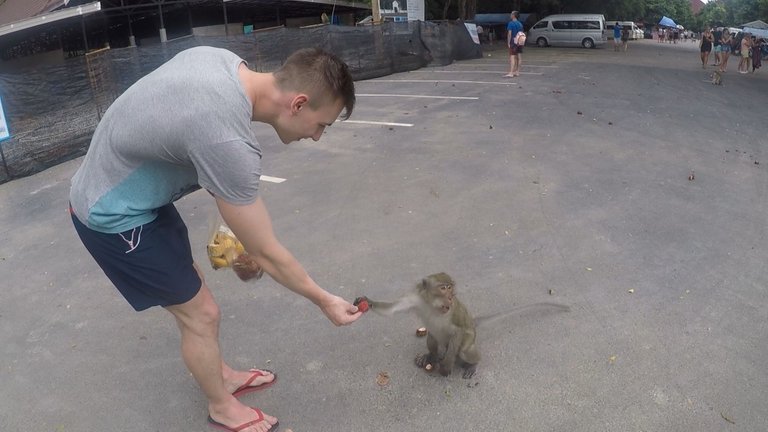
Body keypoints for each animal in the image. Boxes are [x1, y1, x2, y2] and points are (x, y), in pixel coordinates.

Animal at [362, 274, 568, 378]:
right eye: (443, 287)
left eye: (451, 287)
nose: (451, 296)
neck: (432, 305)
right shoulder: (415, 297)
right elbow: (392, 309)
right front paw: (367, 302)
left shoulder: (454, 313)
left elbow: (458, 330)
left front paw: (446, 366)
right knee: (432, 337)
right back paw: (431, 355)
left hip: (470, 337)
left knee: (463, 349)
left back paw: (470, 363)